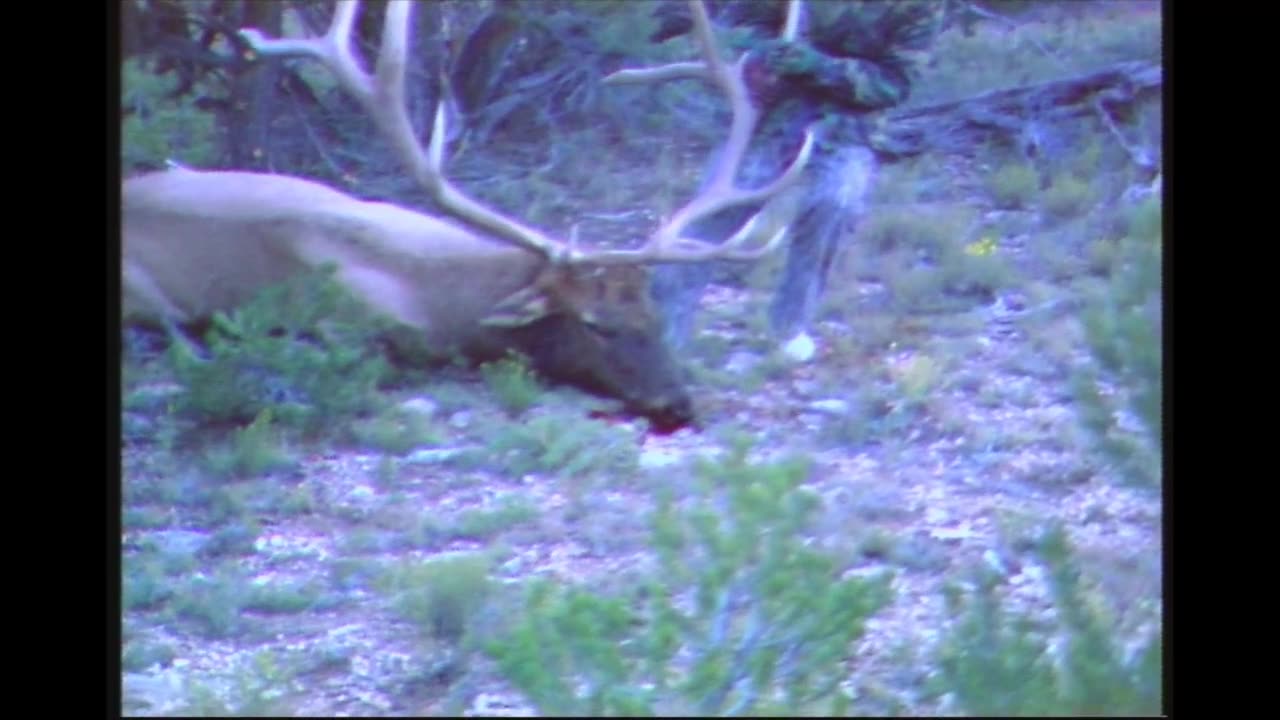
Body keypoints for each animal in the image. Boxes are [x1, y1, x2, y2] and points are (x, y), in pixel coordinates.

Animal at [124, 0, 814, 427]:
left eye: (654, 312)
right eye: (596, 326)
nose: (678, 402)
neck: (438, 292)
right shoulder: (344, 322)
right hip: (146, 294)